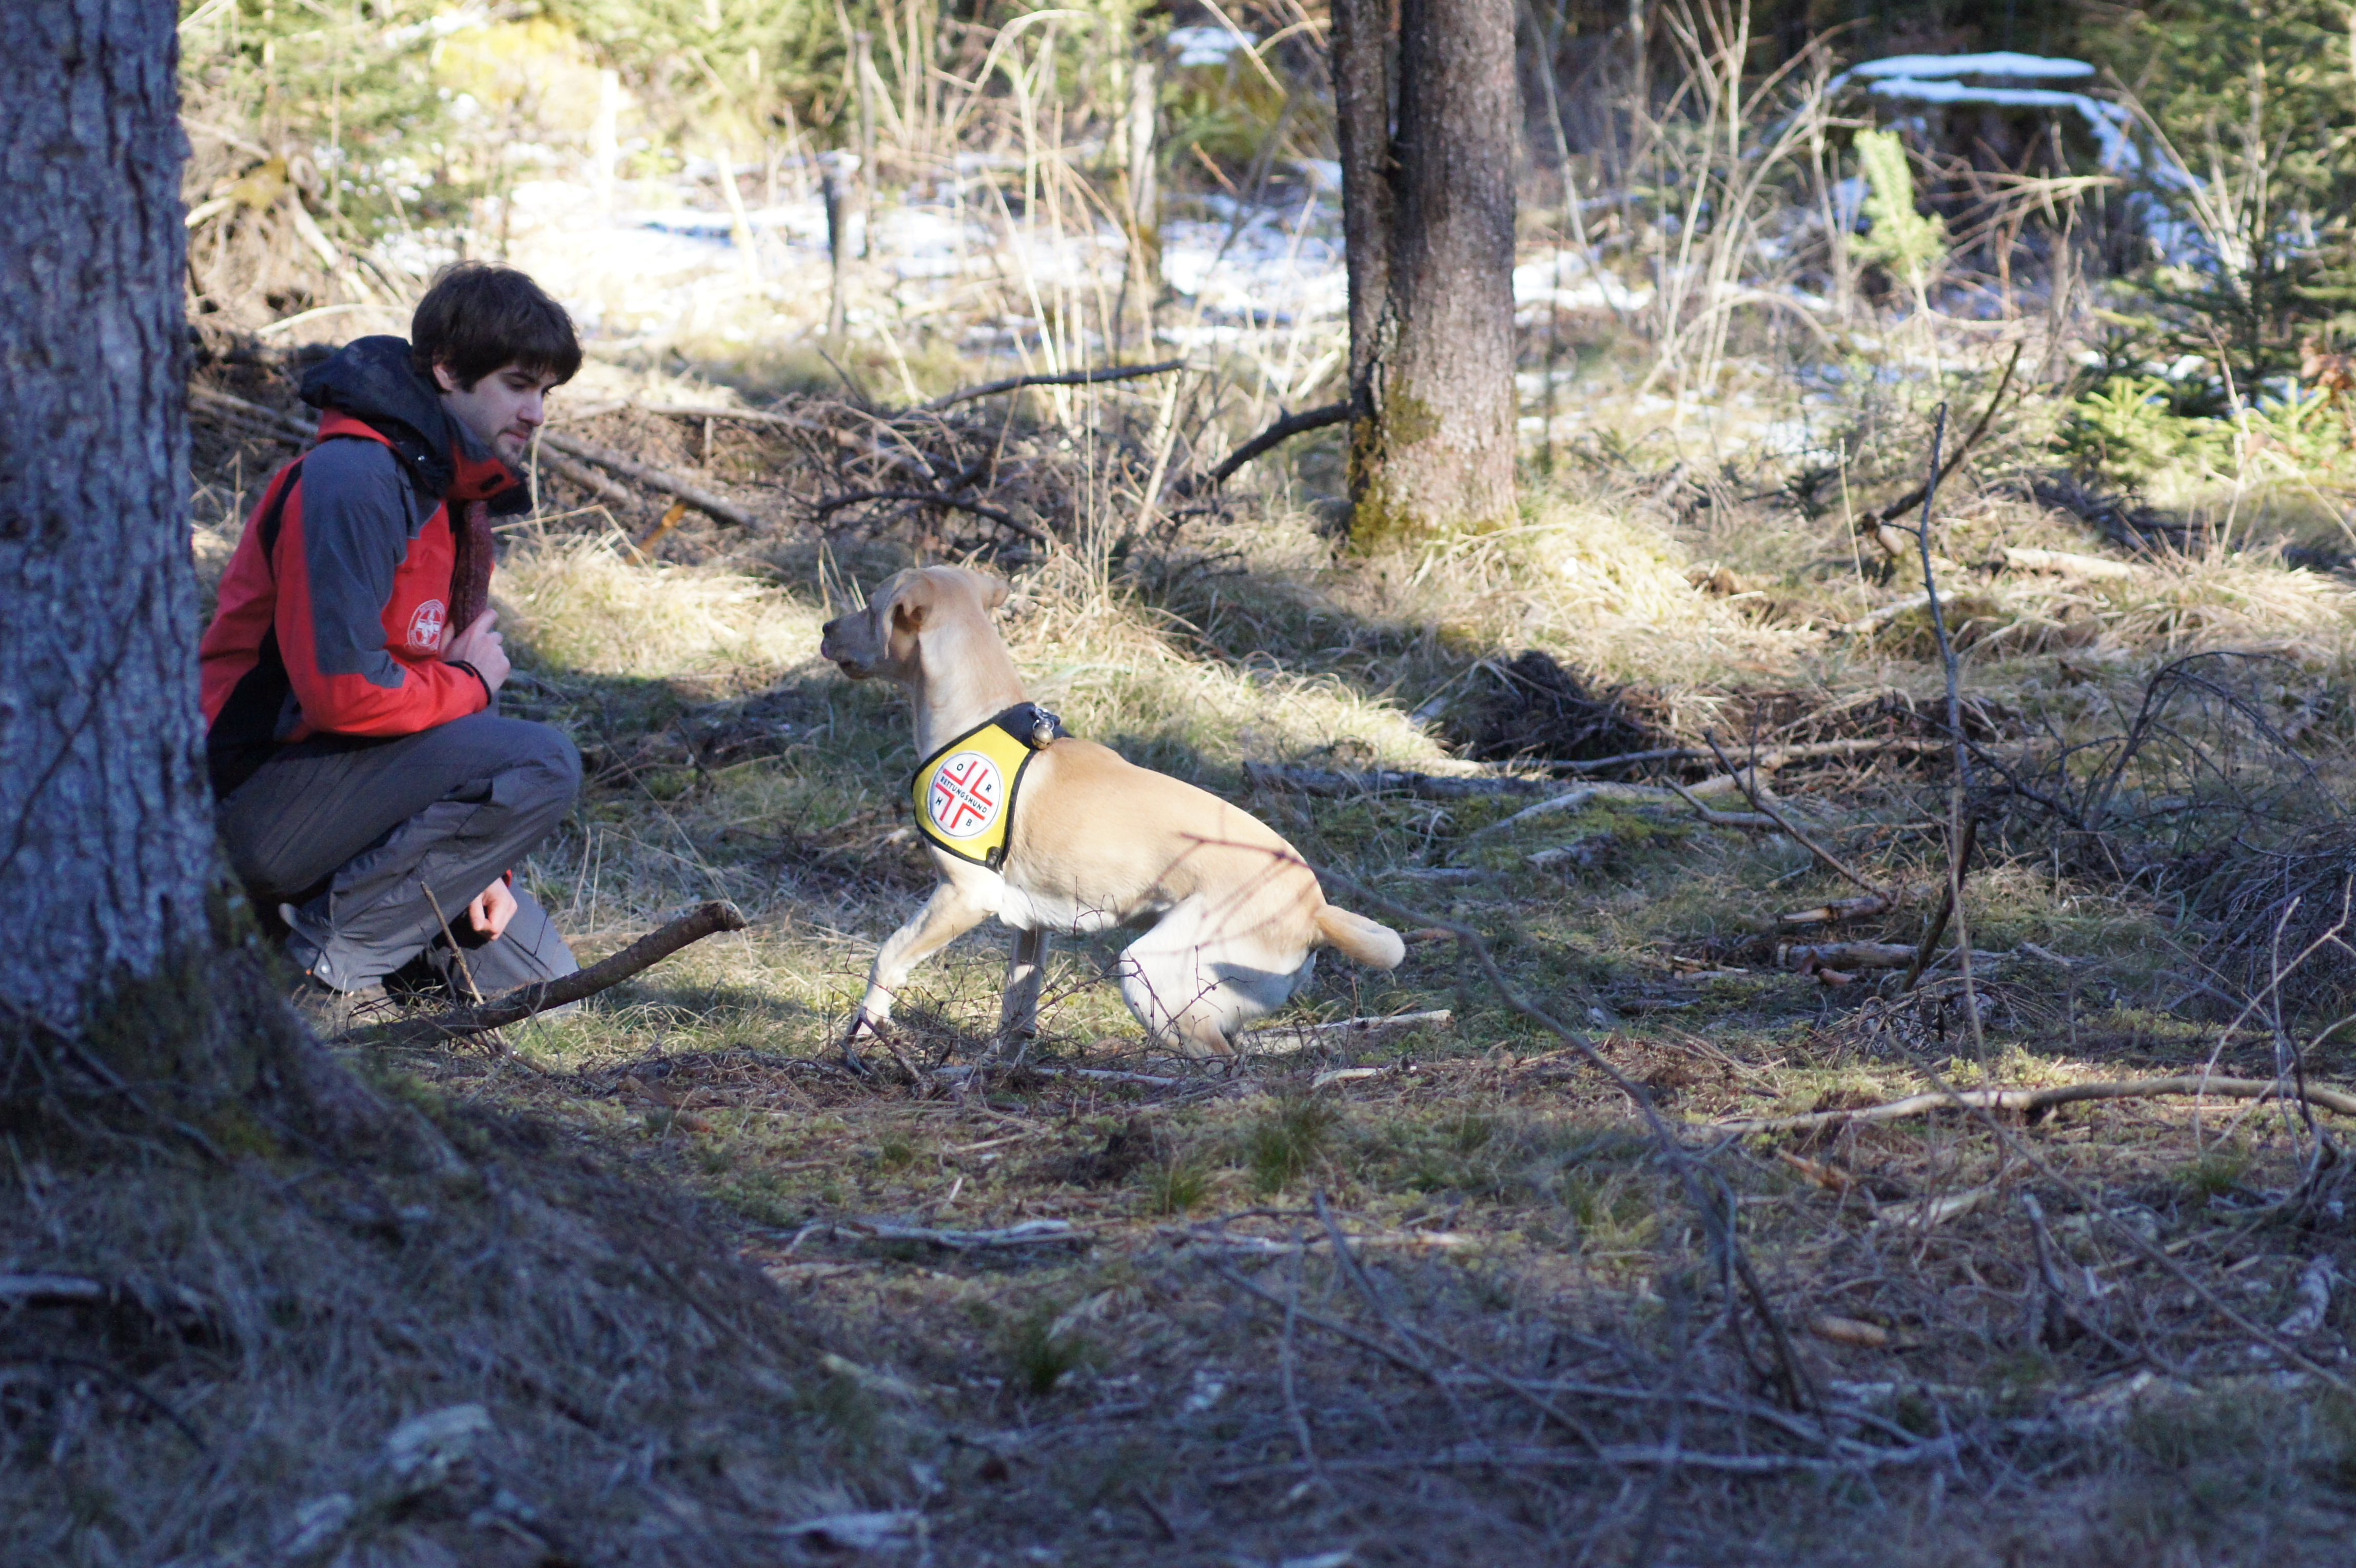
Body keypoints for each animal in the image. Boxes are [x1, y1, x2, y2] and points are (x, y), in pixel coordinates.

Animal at [818, 565, 1405, 1059]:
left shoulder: (964, 895)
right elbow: (1016, 1014)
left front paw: (863, 1034)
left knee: (1222, 1063)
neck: (978, 716)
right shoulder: (1031, 927)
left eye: (871, 607)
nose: (824, 627)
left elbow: (886, 958)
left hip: (1149, 974)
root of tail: (1316, 910)